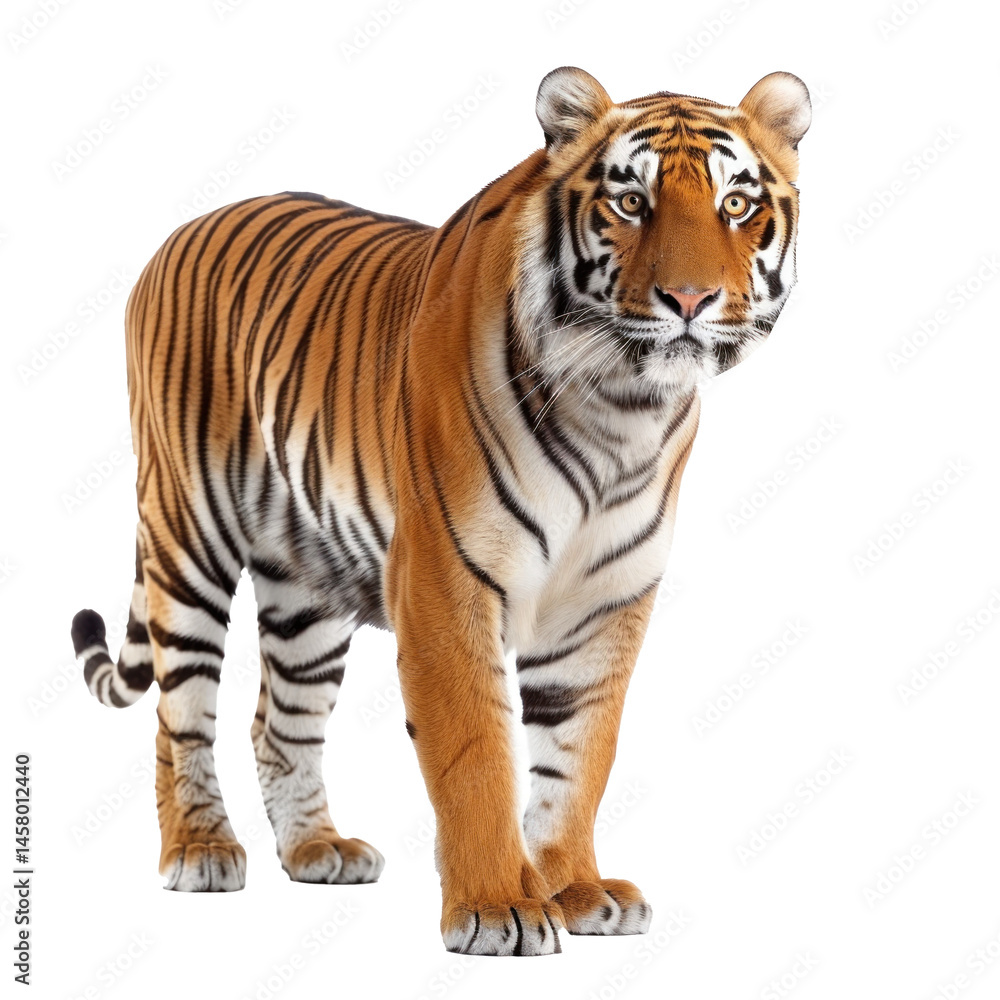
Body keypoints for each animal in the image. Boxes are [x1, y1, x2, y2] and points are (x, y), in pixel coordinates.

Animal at [70, 66, 809, 956]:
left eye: (736, 204)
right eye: (631, 202)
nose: (691, 298)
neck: (622, 408)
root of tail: (177, 232)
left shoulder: (604, 603)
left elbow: (579, 757)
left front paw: (576, 888)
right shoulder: (445, 578)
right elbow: (476, 753)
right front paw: (497, 907)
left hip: (306, 587)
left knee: (278, 723)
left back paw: (317, 850)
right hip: (186, 537)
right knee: (180, 714)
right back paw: (201, 849)